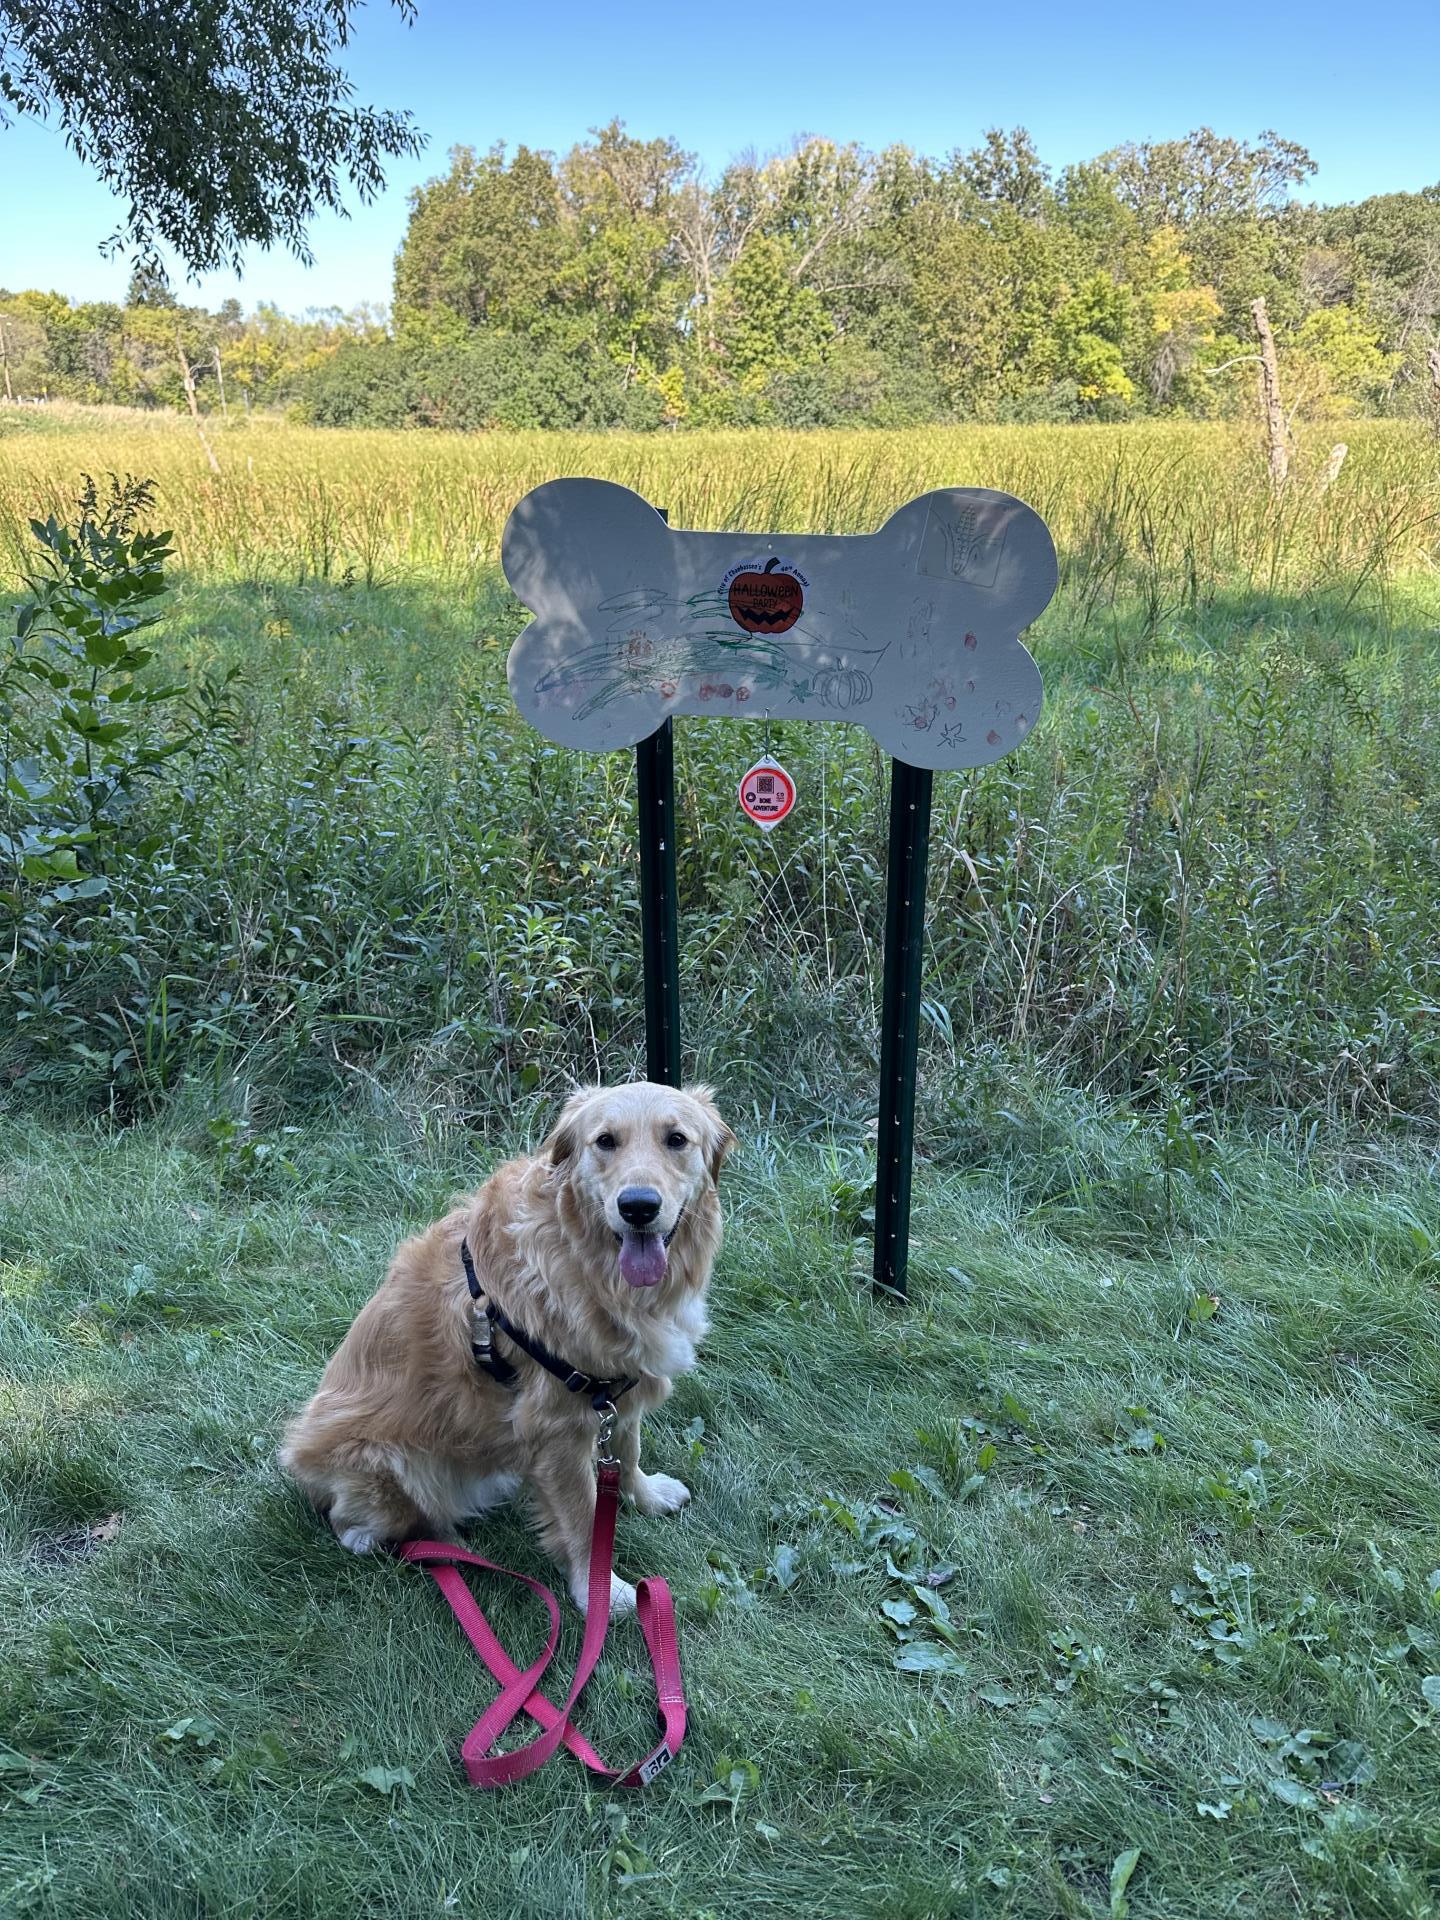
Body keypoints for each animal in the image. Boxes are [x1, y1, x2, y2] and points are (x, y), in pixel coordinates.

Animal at [282, 1090, 733, 1612]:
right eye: (605, 1141)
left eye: (676, 1139)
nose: (638, 1206)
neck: (589, 1261)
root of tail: (298, 1462)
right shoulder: (559, 1427)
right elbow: (584, 1518)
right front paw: (600, 1592)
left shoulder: (615, 1393)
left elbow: (626, 1449)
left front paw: (644, 1494)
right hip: (392, 1463)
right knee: (351, 1521)